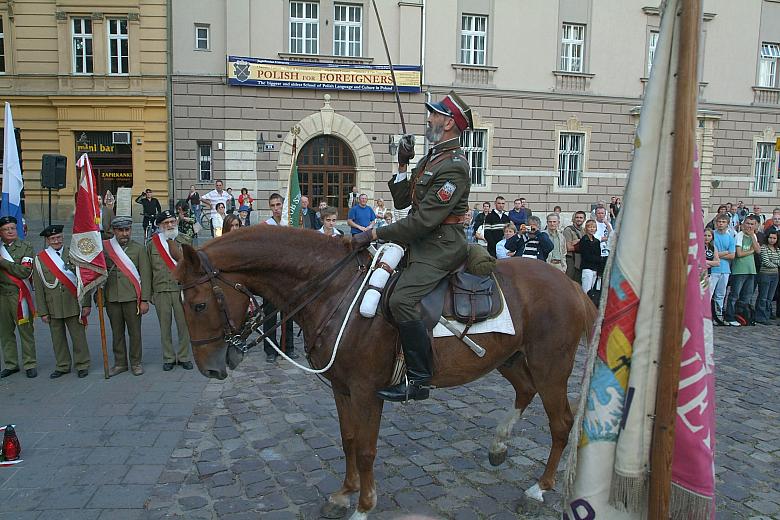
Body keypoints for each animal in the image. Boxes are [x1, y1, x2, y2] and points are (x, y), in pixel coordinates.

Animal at [172, 226, 596, 520]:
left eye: (197, 305)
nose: (210, 368)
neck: (336, 291)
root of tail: (571, 285)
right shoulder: (340, 388)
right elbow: (347, 440)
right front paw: (344, 494)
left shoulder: (366, 390)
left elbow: (365, 448)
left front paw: (363, 506)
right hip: (509, 359)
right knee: (524, 391)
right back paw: (500, 444)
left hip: (550, 367)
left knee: (561, 423)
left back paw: (538, 489)